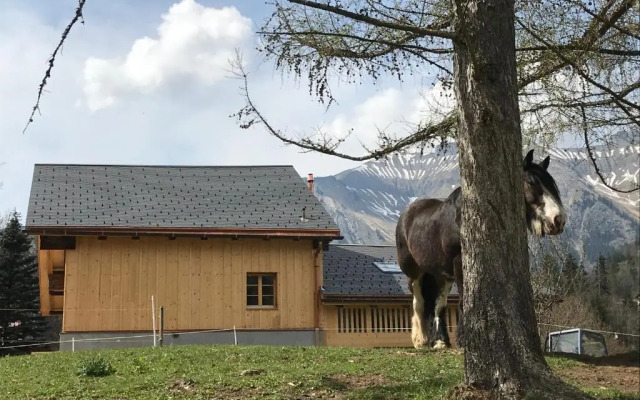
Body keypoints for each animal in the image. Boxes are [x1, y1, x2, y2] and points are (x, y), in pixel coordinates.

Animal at [395, 149, 566, 349]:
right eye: (532, 182)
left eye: (551, 184)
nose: (558, 220)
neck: (464, 218)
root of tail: (406, 215)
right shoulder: (459, 262)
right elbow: (463, 301)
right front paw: (464, 341)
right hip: (415, 272)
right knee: (418, 300)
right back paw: (420, 340)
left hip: (442, 275)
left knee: (438, 304)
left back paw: (441, 341)